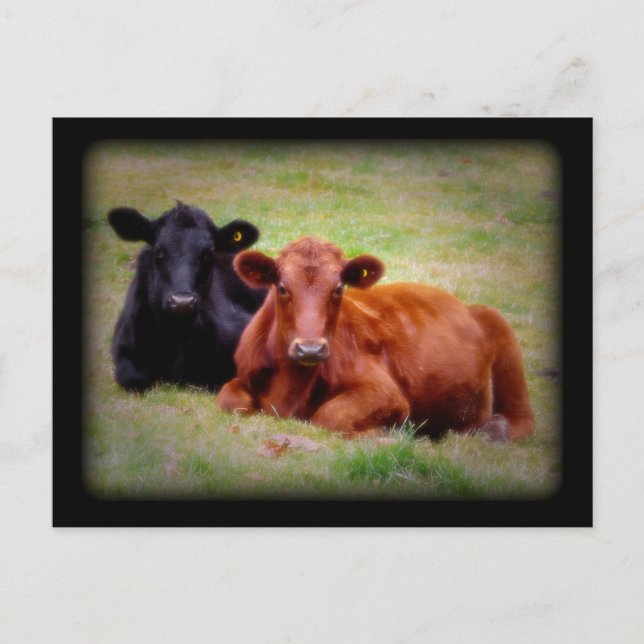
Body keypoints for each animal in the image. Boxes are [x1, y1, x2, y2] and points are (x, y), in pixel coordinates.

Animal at [216, 236, 535, 441]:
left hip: (501, 330)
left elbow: (328, 417)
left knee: (523, 418)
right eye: (282, 287)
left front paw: (384, 434)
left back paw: (495, 430)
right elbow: (229, 399)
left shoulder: (385, 392)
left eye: (338, 288)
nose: (310, 348)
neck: (290, 388)